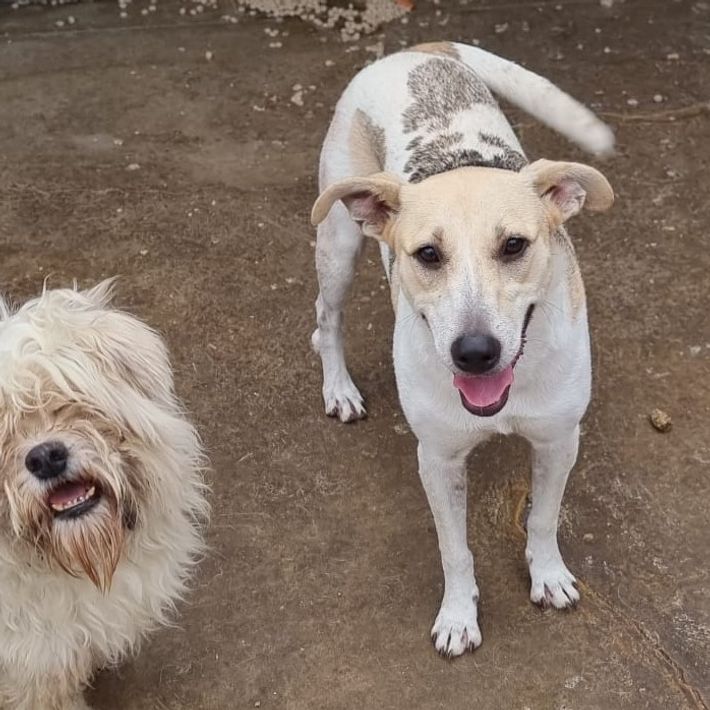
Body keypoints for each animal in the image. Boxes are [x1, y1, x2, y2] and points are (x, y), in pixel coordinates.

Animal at [310, 42, 614, 656]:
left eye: (515, 245)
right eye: (427, 254)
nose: (474, 352)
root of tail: (419, 49)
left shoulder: (558, 440)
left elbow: (544, 519)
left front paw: (548, 576)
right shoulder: (438, 457)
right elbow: (455, 550)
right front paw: (457, 616)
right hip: (339, 246)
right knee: (325, 318)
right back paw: (339, 389)